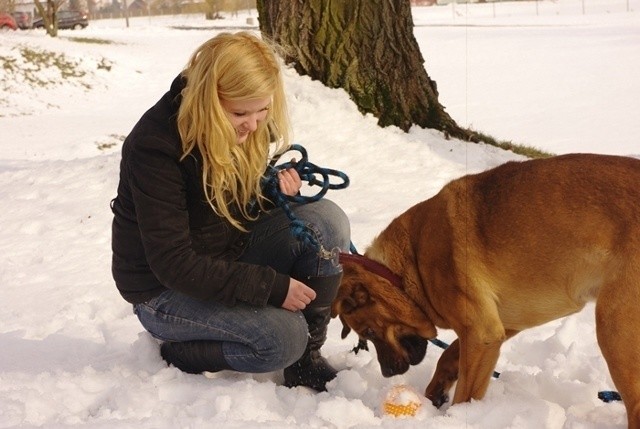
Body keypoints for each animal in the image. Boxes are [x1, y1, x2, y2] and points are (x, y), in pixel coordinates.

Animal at [332, 153, 640, 424]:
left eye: (369, 332)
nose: (388, 373)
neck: (411, 260)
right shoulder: (497, 327)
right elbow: (449, 354)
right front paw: (436, 391)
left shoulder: (481, 334)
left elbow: (466, 394)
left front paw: (456, 418)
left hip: (615, 331)